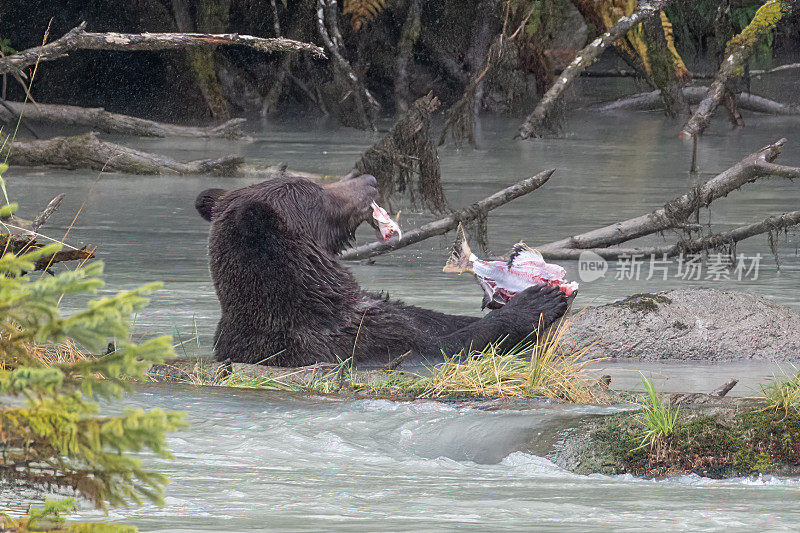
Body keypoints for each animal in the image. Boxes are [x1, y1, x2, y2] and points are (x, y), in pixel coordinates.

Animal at [196, 175, 564, 366]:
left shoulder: (386, 313)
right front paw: (539, 302)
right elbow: (444, 347)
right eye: (316, 190)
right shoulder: (351, 340)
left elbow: (431, 319)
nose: (368, 178)